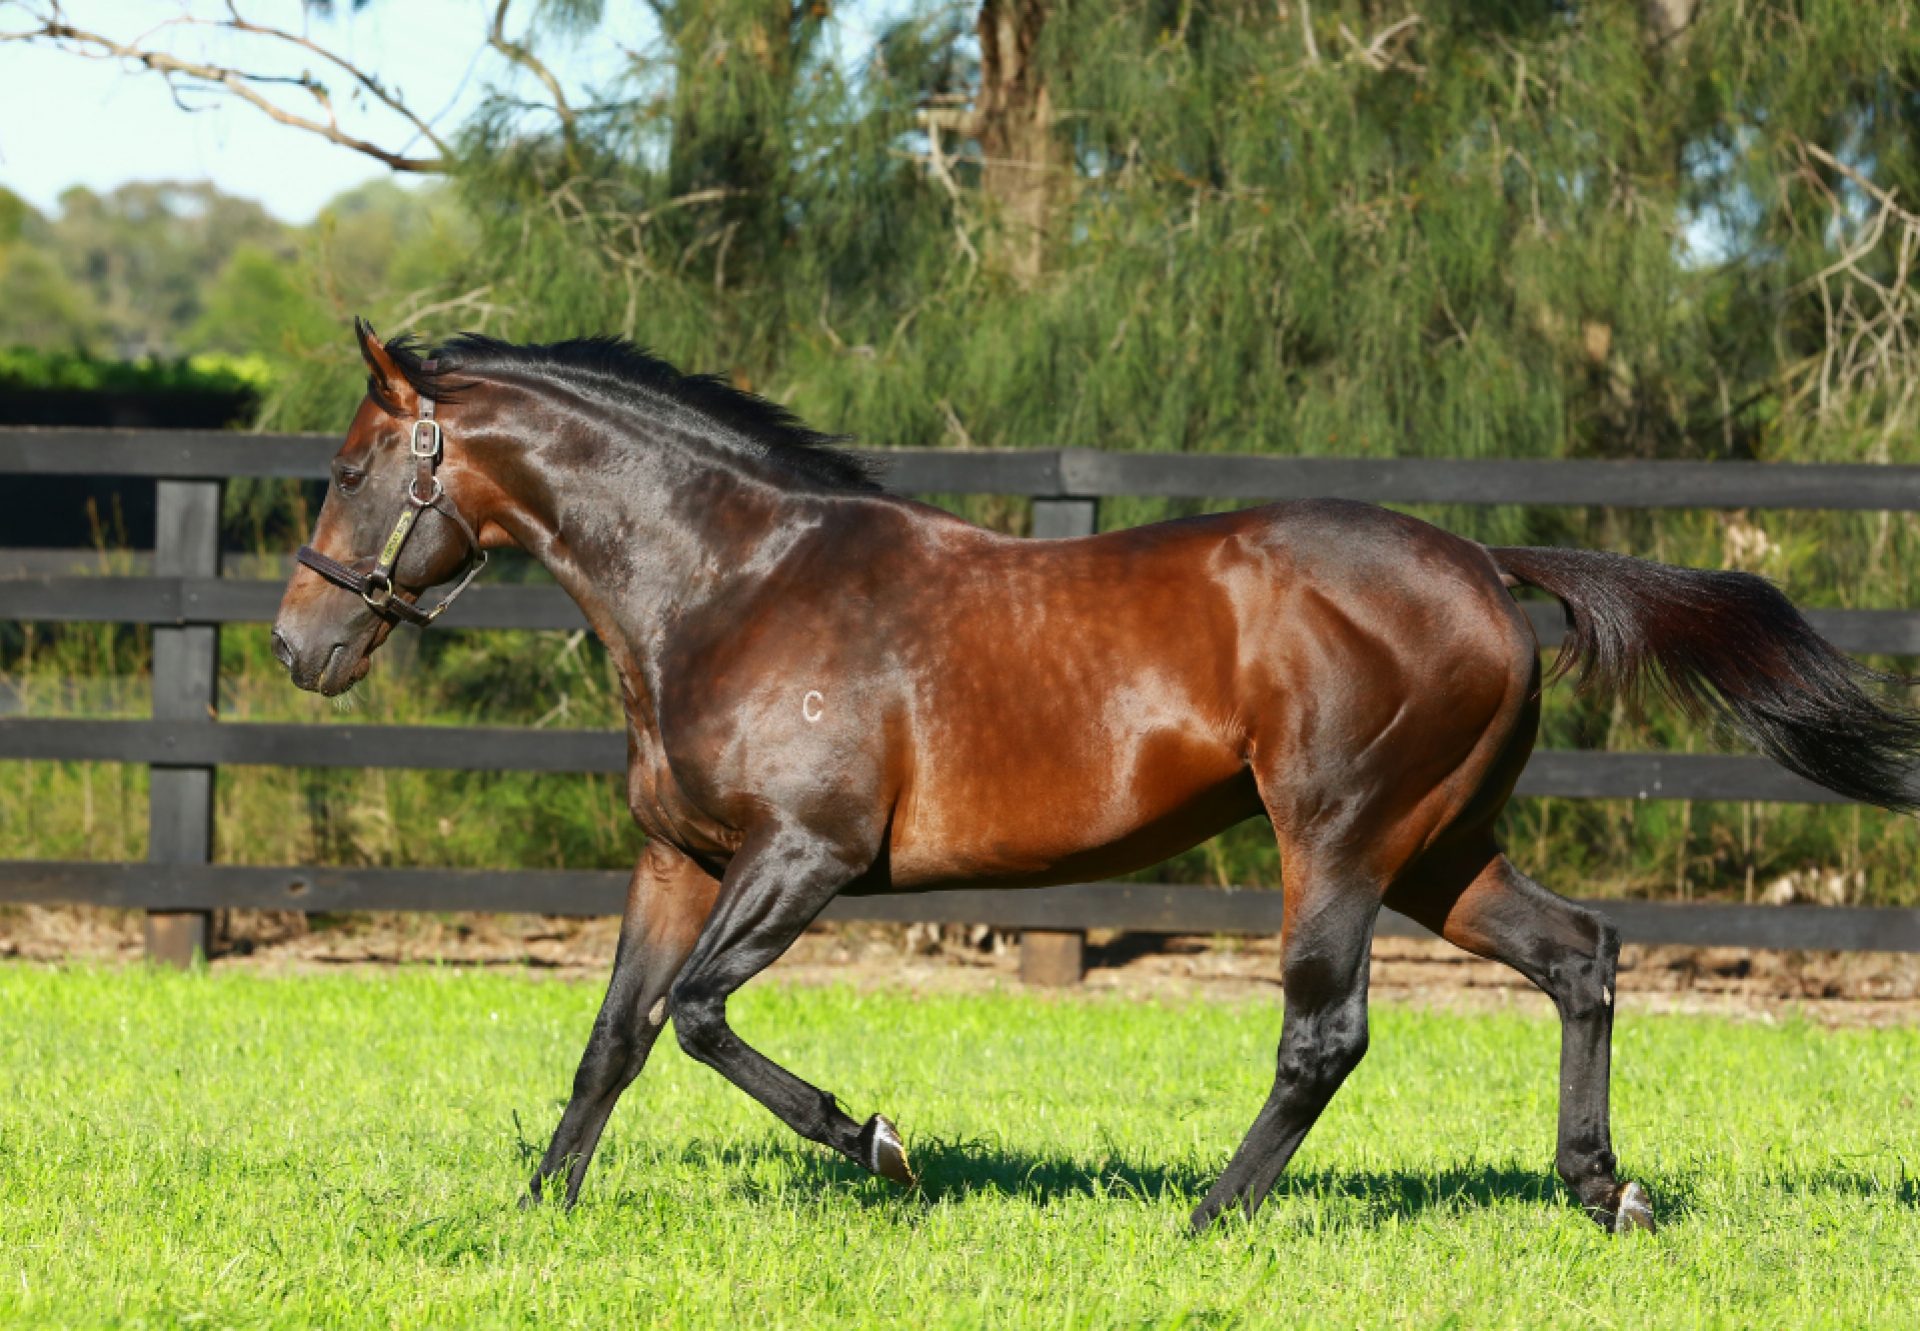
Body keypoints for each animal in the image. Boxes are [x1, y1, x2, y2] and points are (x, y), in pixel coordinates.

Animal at [270, 316, 1920, 1229]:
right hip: (1445, 849)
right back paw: (1604, 1188)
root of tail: (1478, 561)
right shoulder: (678, 858)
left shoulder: (804, 854)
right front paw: (539, 1210)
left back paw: (1209, 1218)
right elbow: (612, 1036)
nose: (297, 643)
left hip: (1340, 835)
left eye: (349, 468)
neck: (732, 584)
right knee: (1582, 954)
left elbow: (696, 1015)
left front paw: (879, 1144)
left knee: (1325, 1032)